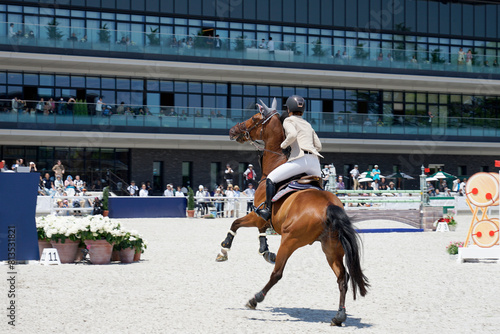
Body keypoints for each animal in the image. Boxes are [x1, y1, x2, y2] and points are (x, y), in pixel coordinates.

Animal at [223, 99, 368, 326]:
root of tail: (330, 207)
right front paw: (265, 251)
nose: (233, 130)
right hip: (331, 247)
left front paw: (224, 249)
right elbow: (261, 233)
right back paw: (339, 316)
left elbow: (235, 224)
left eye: (255, 118)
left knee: (277, 274)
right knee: (342, 277)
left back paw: (255, 299)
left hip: (291, 240)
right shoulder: (265, 219)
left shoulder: (257, 214)